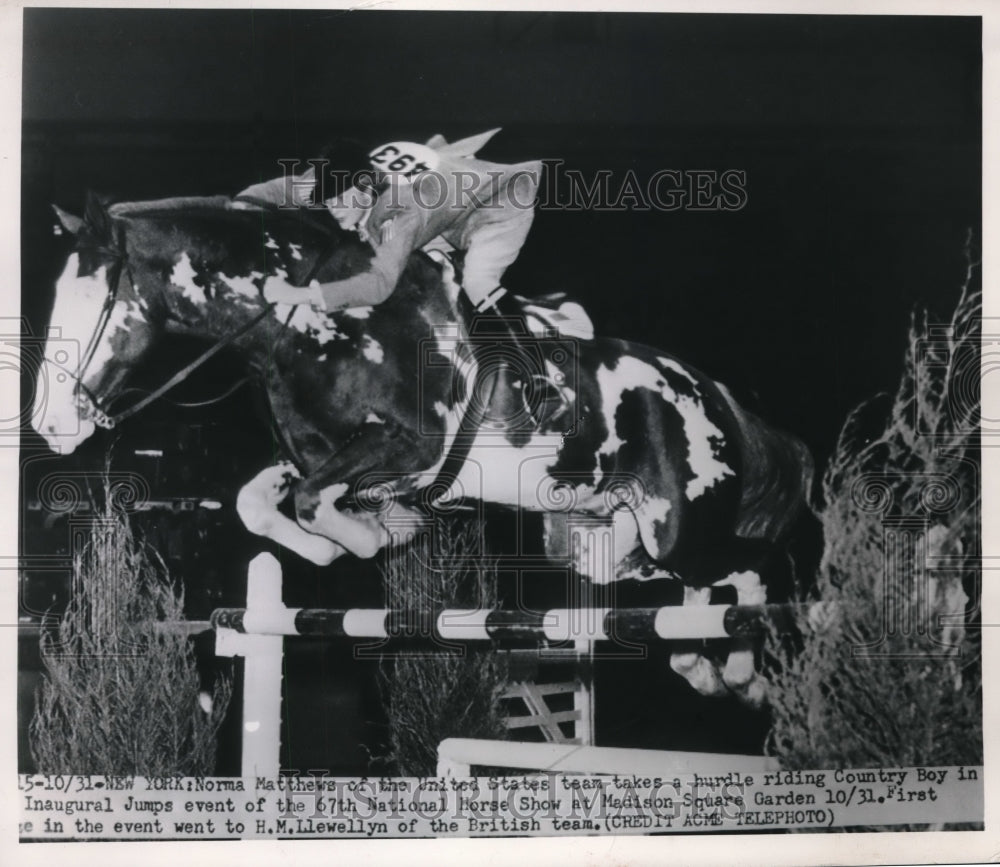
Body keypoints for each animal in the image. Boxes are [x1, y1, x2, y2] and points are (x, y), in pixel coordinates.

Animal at [33, 193, 812, 700]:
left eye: (93, 301)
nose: (50, 426)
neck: (311, 320)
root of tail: (710, 390)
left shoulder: (414, 447)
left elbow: (314, 501)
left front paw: (378, 533)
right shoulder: (321, 451)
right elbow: (262, 500)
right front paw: (358, 536)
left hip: (682, 525)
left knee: (746, 572)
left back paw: (737, 673)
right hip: (612, 542)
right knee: (688, 589)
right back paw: (701, 664)